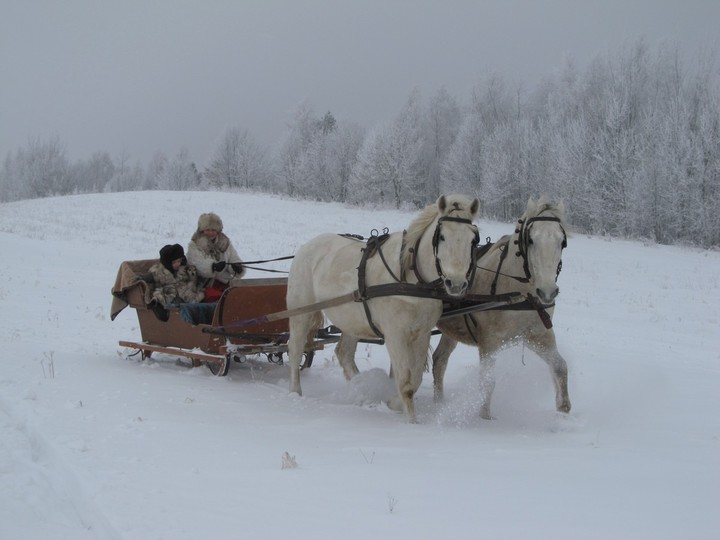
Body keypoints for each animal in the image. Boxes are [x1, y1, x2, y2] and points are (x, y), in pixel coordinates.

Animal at [286, 194, 478, 422]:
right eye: (442, 237)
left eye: (473, 239)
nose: (456, 284)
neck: (410, 279)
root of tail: (307, 246)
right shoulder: (395, 335)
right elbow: (406, 382)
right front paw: (412, 421)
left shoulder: (421, 334)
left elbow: (415, 378)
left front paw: (394, 403)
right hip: (301, 313)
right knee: (295, 348)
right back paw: (295, 392)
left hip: (353, 321)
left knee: (344, 353)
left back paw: (362, 390)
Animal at [430, 196, 572, 420]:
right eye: (531, 239)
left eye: (562, 242)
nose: (547, 292)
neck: (518, 293)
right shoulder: (489, 341)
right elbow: (487, 382)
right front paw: (485, 418)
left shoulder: (538, 335)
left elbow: (560, 366)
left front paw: (564, 411)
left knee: (439, 361)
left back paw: (438, 404)